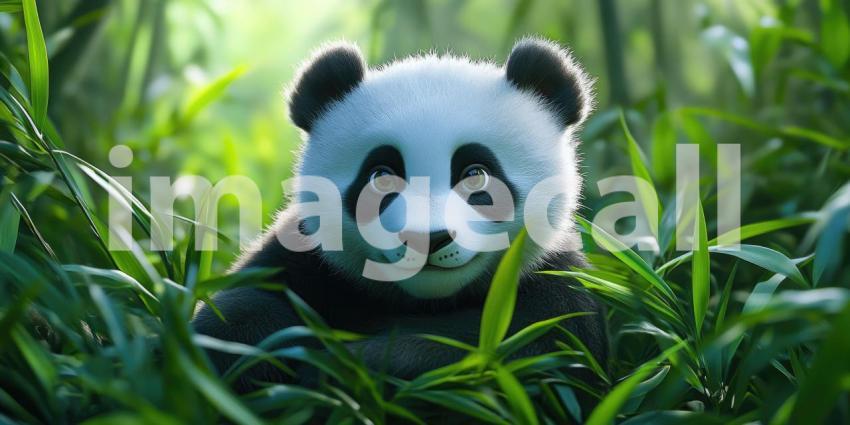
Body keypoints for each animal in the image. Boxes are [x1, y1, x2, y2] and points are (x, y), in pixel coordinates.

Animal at [193, 37, 608, 394]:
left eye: (475, 174)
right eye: (381, 176)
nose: (428, 238)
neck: (425, 301)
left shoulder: (553, 283)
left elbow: (511, 349)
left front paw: (342, 369)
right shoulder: (306, 262)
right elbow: (236, 314)